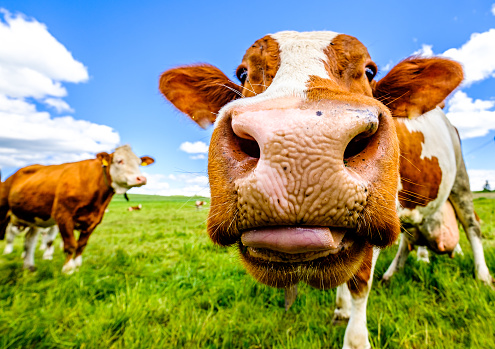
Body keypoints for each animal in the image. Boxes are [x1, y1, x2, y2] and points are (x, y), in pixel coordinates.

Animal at [0, 143, 154, 272]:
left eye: (139, 163)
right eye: (119, 160)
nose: (141, 178)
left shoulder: (94, 220)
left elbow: (81, 244)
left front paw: (77, 264)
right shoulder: (63, 216)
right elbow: (70, 245)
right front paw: (68, 269)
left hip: (33, 218)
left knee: (29, 241)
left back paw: (29, 266)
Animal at [159, 31, 492, 346]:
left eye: (369, 70)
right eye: (243, 73)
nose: (297, 142)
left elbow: (359, 282)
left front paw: (355, 338)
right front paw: (341, 309)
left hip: (461, 181)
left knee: (472, 226)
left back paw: (483, 276)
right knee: (410, 240)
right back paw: (394, 272)